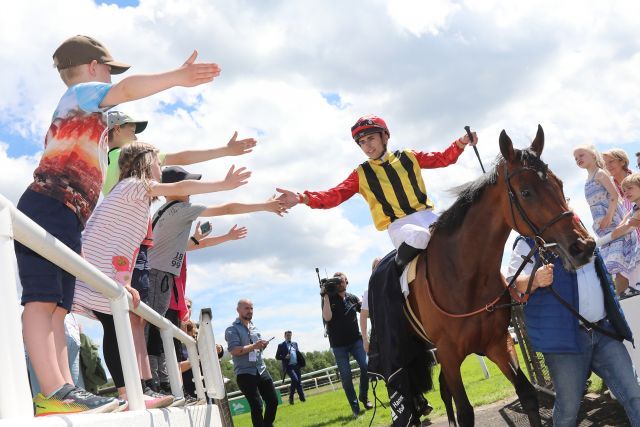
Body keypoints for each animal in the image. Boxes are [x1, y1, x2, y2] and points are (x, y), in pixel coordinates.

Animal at [408, 125, 596, 426]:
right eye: (527, 192)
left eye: (559, 183)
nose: (584, 246)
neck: (463, 277)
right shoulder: (448, 354)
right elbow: (465, 411)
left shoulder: (498, 343)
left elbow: (528, 394)